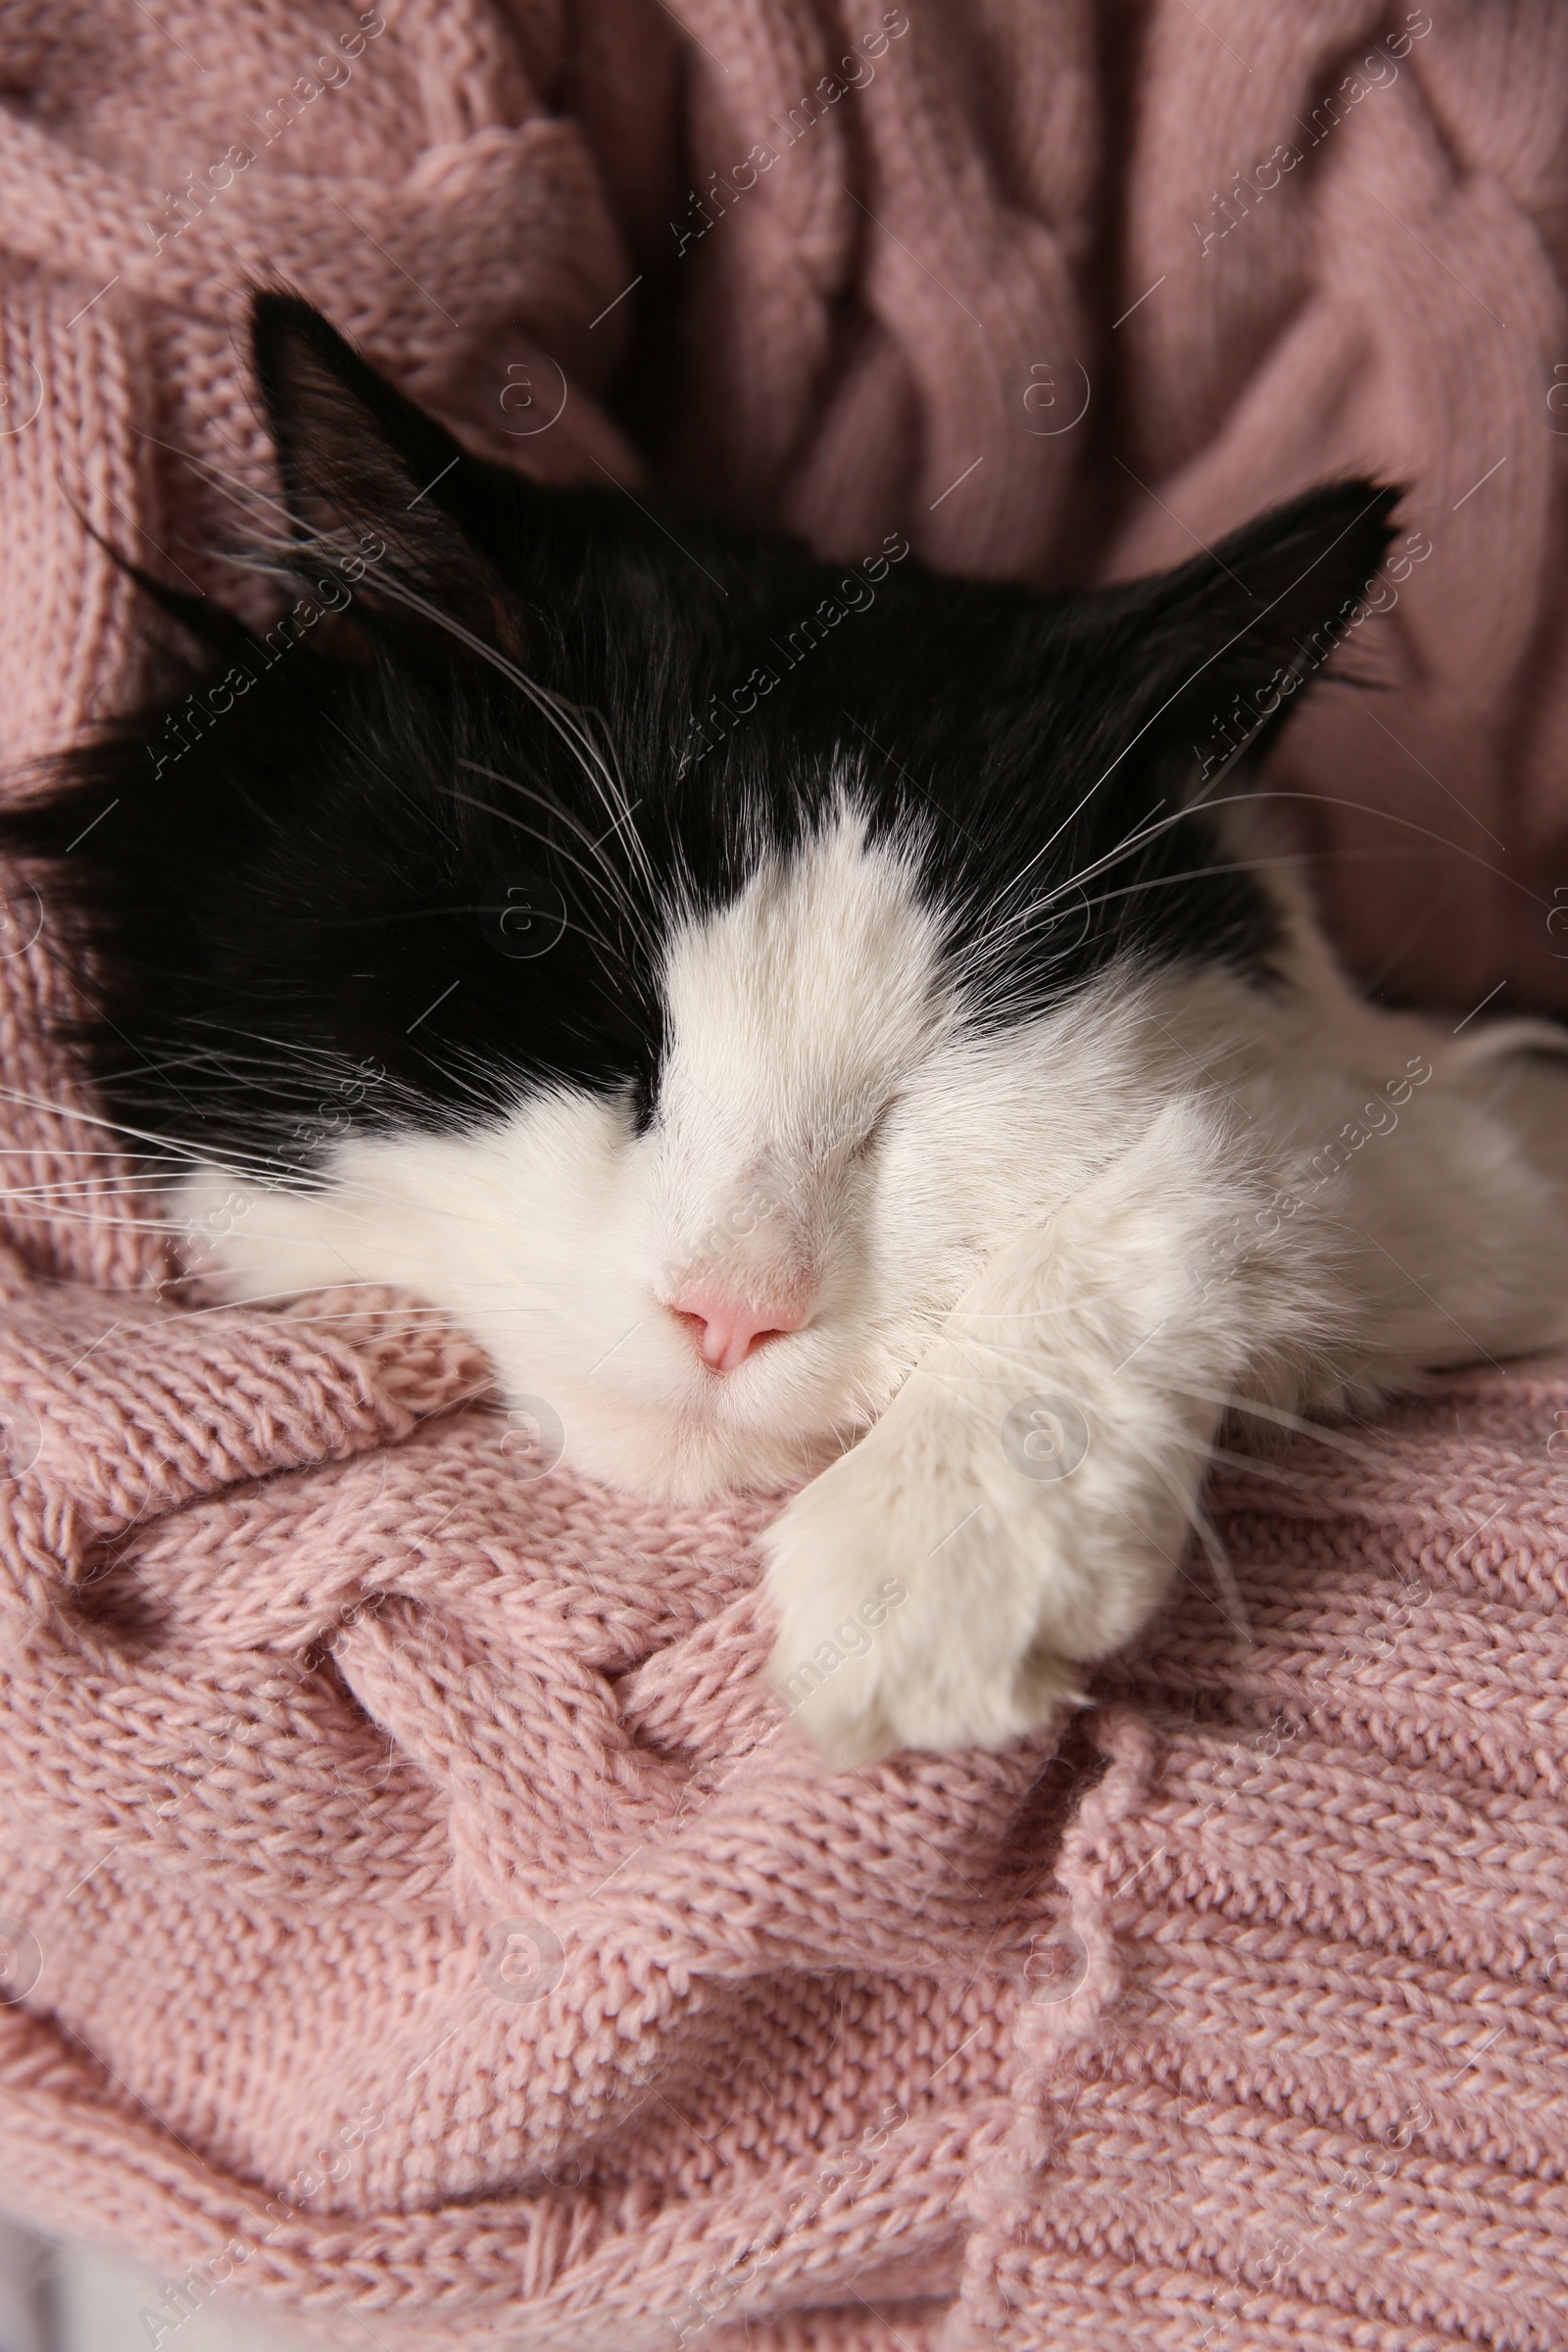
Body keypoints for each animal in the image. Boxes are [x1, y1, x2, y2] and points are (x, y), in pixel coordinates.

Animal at [12, 294, 1568, 1768]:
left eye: (950, 1064)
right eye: (580, 1011)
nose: (732, 1311)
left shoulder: (1473, 1137)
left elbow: (1231, 1142)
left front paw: (939, 1554)